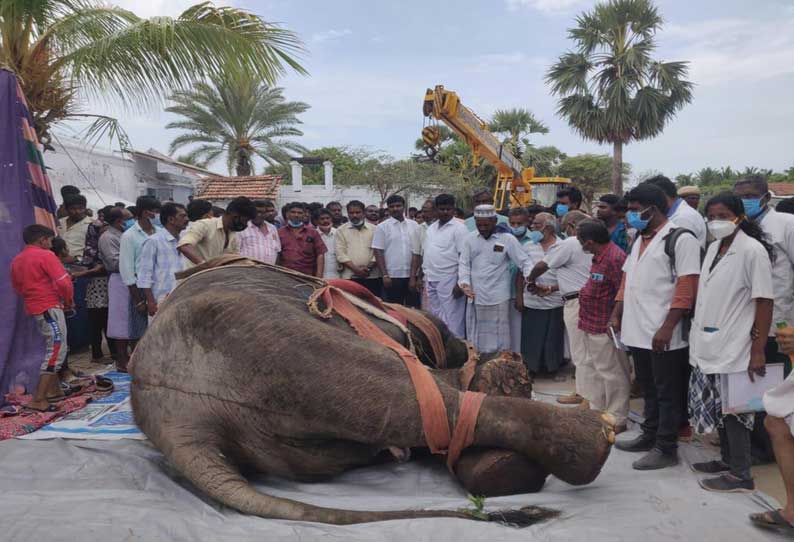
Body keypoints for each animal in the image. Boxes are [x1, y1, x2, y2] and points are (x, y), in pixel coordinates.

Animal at [130, 260, 616, 528]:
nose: (502, 353)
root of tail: (175, 418)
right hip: (267, 339)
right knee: (404, 393)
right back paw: (585, 435)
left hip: (284, 439)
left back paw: (504, 466)